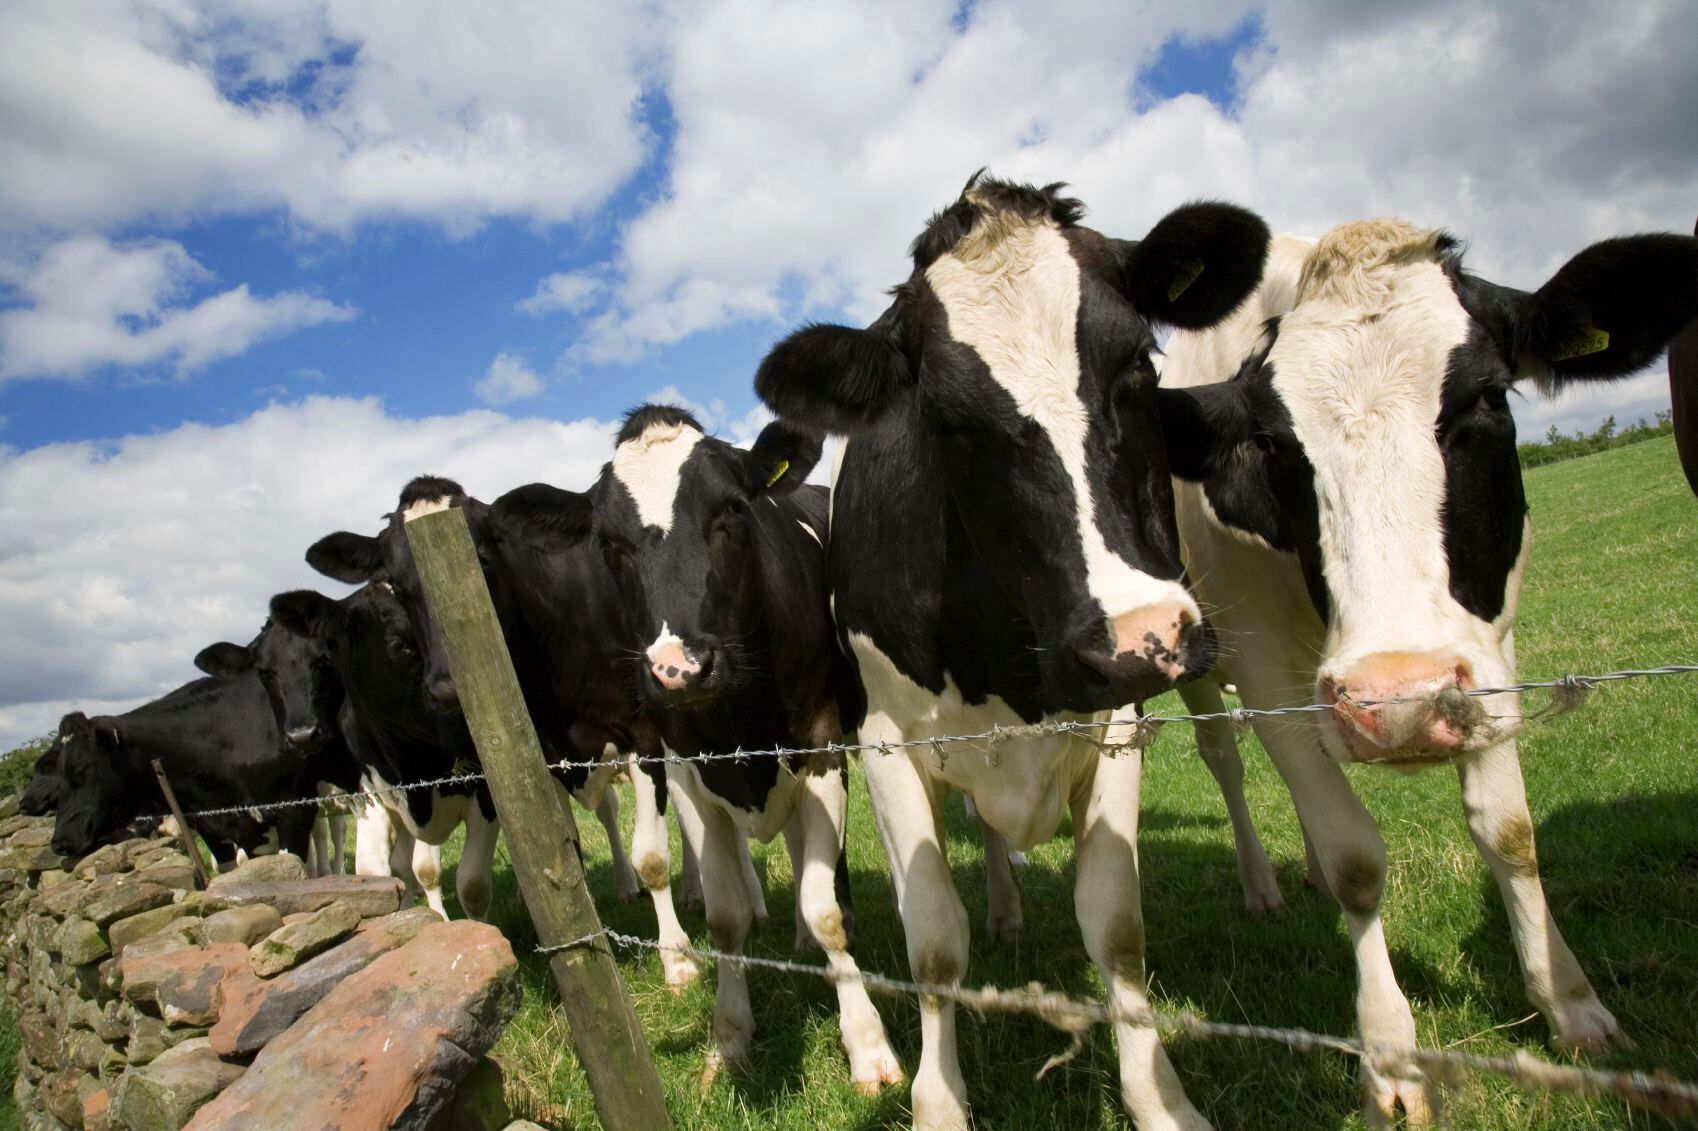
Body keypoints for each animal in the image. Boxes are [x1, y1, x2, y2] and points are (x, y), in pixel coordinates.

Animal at [305, 475, 696, 971]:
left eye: (484, 559)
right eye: (396, 582)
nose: (446, 686)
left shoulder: (642, 736)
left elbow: (653, 857)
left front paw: (678, 960)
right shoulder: (539, 757)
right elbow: (565, 853)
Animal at [757, 169, 1276, 1127]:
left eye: (1139, 366)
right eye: (944, 419)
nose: (1139, 636)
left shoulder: (1118, 717)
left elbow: (1115, 925)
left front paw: (1160, 1095)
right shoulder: (882, 740)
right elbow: (933, 942)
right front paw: (938, 1099)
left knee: (1224, 753)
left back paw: (1259, 884)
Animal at [1154, 213, 1698, 1120]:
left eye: (1486, 398)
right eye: (1270, 443)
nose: (1398, 699)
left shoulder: (1487, 644)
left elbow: (1508, 831)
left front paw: (1572, 1003)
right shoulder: (1261, 659)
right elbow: (1356, 858)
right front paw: (1391, 1060)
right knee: (1226, 755)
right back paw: (1263, 882)